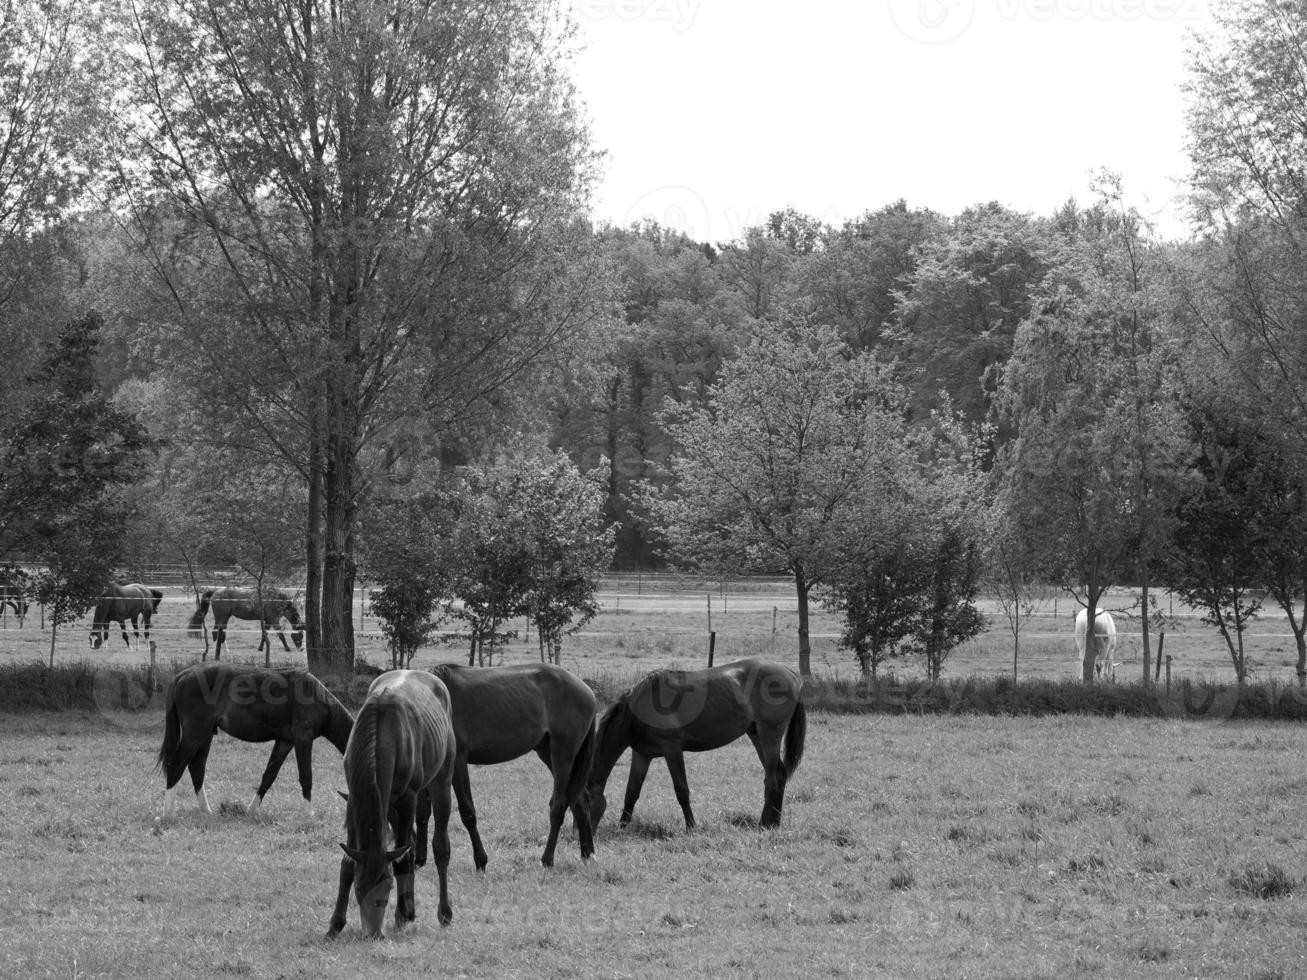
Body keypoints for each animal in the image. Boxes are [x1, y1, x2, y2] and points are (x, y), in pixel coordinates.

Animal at [155, 663, 355, 815]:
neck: (316, 696)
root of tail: (185, 674)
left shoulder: (285, 742)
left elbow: (269, 775)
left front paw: (251, 810)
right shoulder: (303, 739)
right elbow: (306, 776)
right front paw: (308, 814)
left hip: (205, 736)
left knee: (196, 768)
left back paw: (206, 810)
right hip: (194, 735)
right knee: (176, 766)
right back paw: (167, 813)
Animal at [329, 674, 457, 940]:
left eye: (387, 888)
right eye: (359, 888)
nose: (373, 933)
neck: (381, 733)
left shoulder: (408, 798)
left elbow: (402, 858)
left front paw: (402, 914)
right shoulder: (354, 801)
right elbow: (348, 862)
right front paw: (334, 924)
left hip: (441, 778)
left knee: (439, 846)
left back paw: (442, 913)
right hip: (389, 807)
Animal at [415, 663, 598, 872]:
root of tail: (588, 691)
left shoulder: (458, 762)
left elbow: (468, 813)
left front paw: (481, 861)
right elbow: (422, 813)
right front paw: (419, 860)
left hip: (562, 755)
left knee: (559, 806)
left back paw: (547, 859)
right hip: (548, 753)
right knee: (580, 801)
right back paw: (588, 854)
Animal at [590, 661, 805, 836]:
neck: (639, 708)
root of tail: (791, 673)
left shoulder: (672, 749)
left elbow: (682, 790)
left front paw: (691, 827)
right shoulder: (642, 754)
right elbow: (632, 792)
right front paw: (622, 827)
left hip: (770, 735)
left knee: (771, 780)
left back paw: (763, 824)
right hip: (756, 735)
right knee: (780, 776)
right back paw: (774, 824)